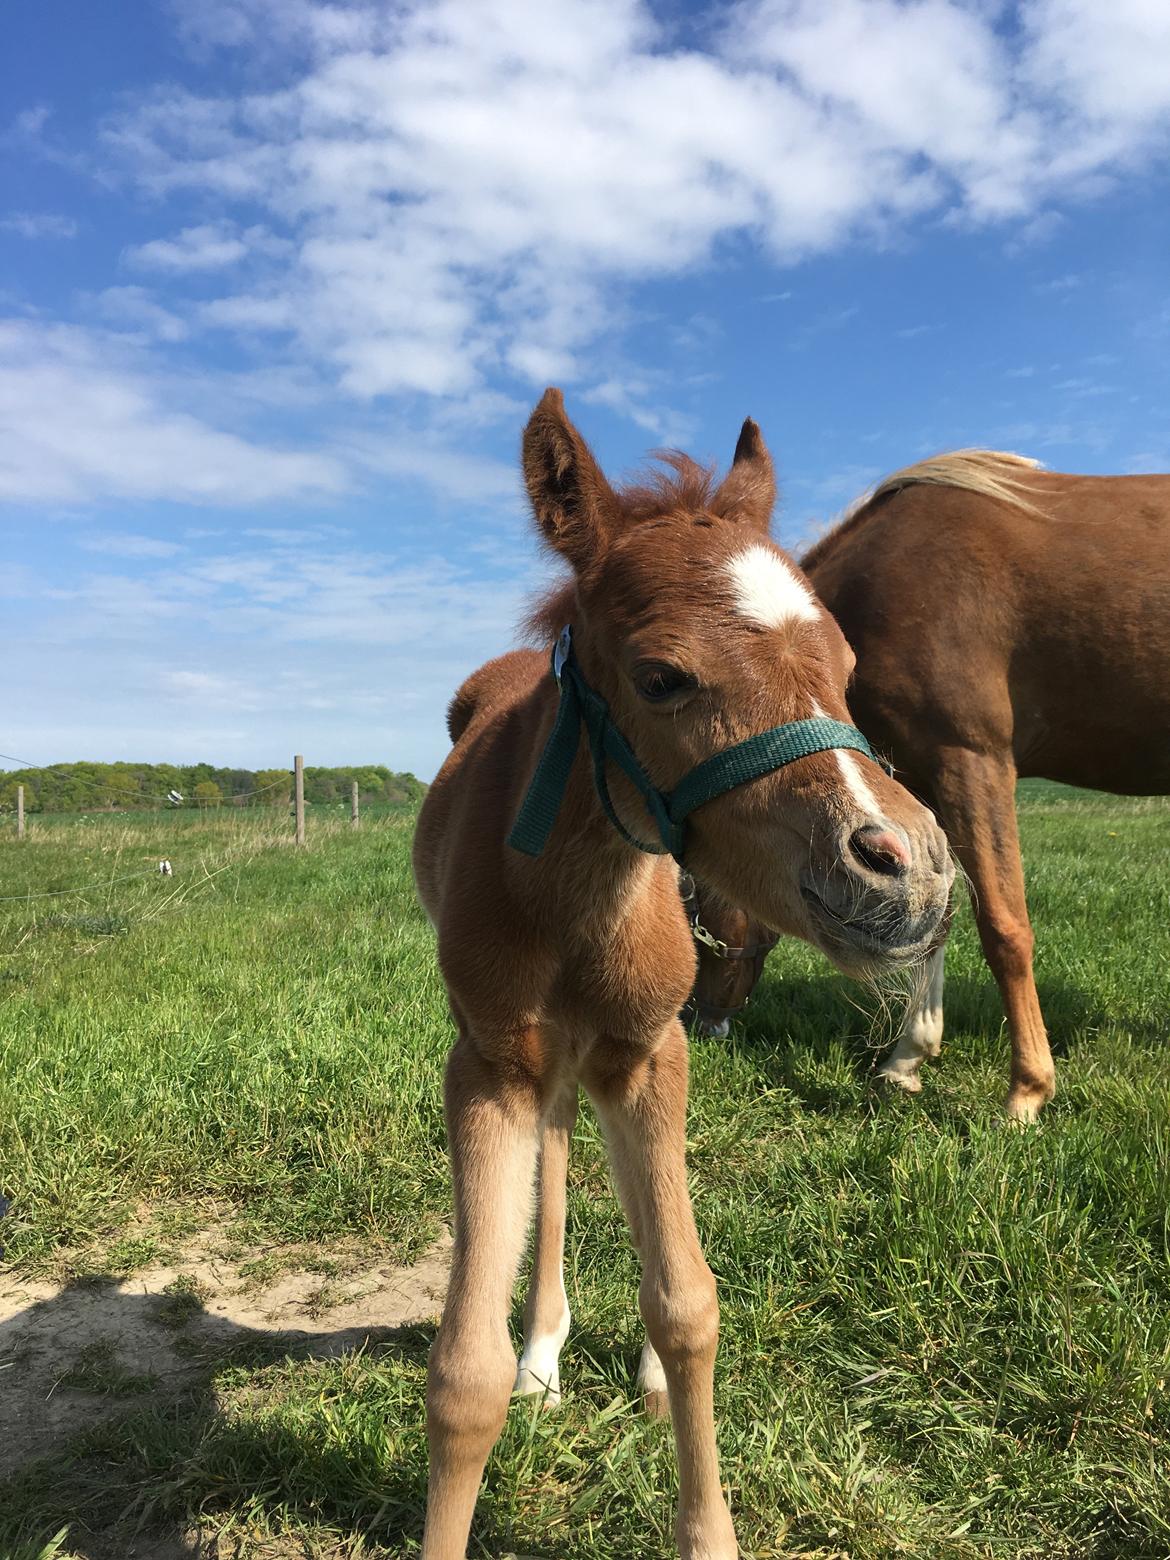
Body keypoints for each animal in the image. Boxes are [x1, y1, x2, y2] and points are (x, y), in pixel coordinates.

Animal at [411, 390, 954, 1560]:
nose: (910, 864)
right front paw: (513, 1368)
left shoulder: (651, 1049)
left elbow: (688, 1303)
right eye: (663, 677)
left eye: (847, 668)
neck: (577, 893)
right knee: (559, 1157)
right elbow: (463, 1373)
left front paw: (706, 1518)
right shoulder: (485, 1065)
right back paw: (544, 1354)